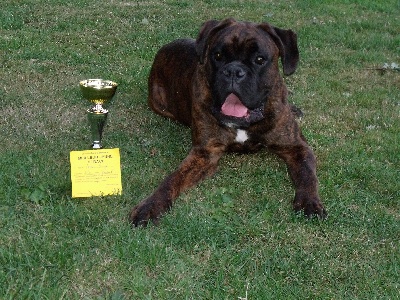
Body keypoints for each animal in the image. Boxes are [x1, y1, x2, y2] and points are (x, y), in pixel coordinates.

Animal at [130, 18, 326, 225]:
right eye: (217, 56)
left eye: (259, 59)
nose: (233, 71)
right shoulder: (204, 154)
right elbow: (174, 178)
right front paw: (151, 205)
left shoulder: (296, 146)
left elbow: (307, 175)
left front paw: (310, 202)